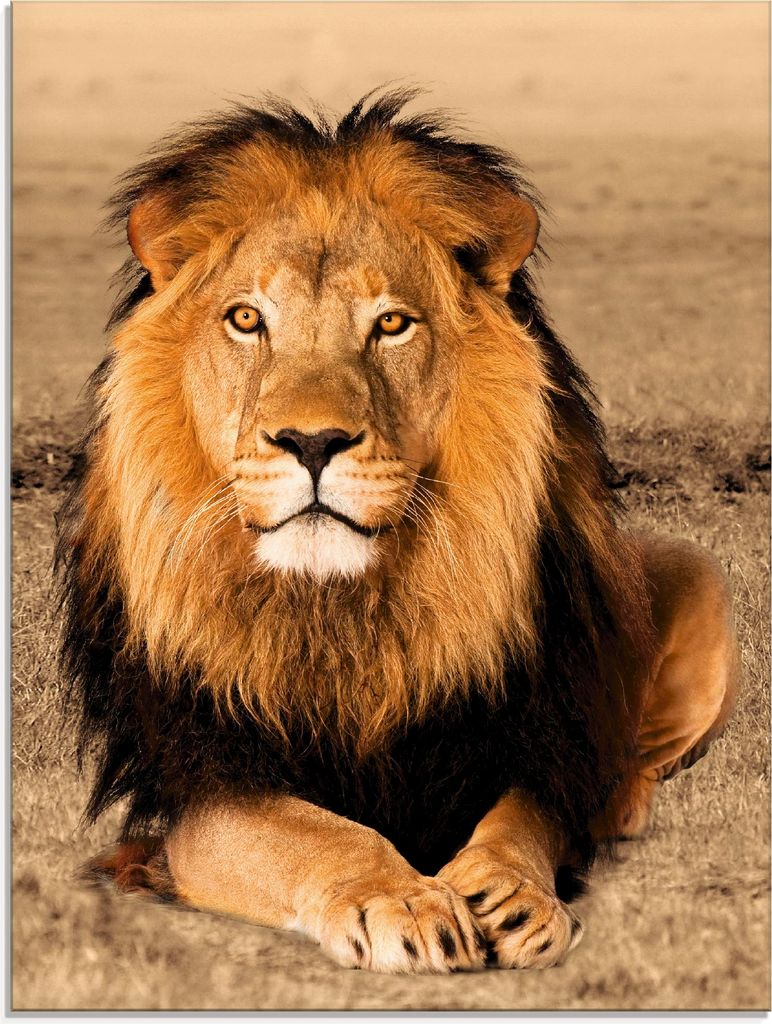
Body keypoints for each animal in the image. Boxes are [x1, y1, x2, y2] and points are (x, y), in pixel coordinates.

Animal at [55, 89, 737, 974]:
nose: (312, 442)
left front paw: (510, 892)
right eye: (246, 319)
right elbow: (315, 833)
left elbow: (523, 819)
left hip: (699, 580)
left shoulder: (524, 736)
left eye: (391, 325)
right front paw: (404, 898)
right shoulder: (205, 779)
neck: (343, 610)